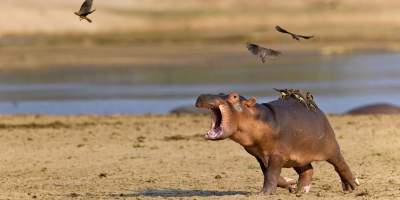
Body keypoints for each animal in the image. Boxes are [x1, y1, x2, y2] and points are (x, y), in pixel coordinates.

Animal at [195, 93, 358, 195]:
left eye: (234, 96)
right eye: (221, 92)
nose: (203, 95)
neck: (254, 116)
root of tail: (318, 110)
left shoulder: (277, 154)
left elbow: (271, 174)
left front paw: (264, 193)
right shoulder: (259, 155)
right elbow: (268, 173)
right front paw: (290, 184)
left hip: (331, 147)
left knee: (340, 164)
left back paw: (352, 186)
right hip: (298, 157)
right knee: (308, 170)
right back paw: (300, 190)